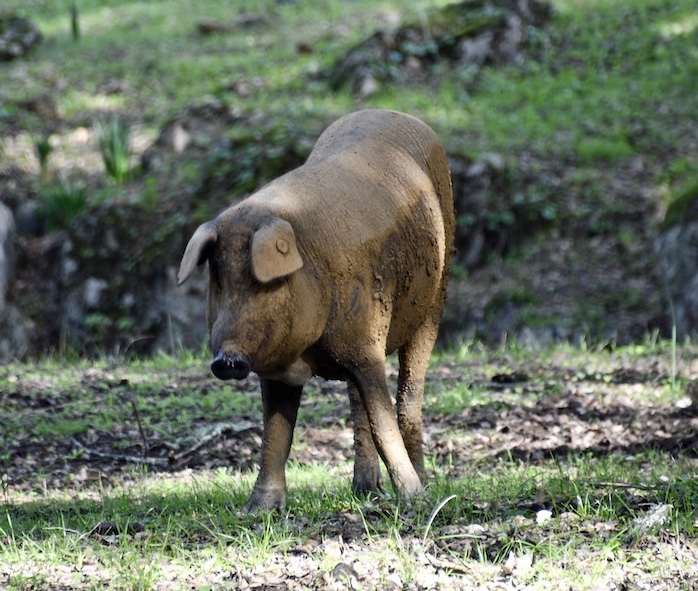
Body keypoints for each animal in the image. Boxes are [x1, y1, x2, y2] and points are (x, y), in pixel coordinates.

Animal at [177, 110, 454, 512]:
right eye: (218, 281)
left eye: (263, 282)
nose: (226, 360)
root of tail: (402, 115)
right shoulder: (277, 368)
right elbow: (276, 435)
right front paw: (255, 510)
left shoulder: (366, 346)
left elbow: (383, 421)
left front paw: (414, 501)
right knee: (357, 408)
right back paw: (365, 491)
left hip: (435, 301)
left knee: (408, 396)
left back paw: (423, 488)